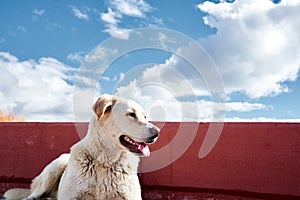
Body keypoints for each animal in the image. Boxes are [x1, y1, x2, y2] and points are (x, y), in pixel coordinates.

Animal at [3, 94, 159, 199]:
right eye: (131, 114)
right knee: (32, 195)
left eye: (145, 117)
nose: (157, 132)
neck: (105, 162)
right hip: (56, 167)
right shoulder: (70, 196)